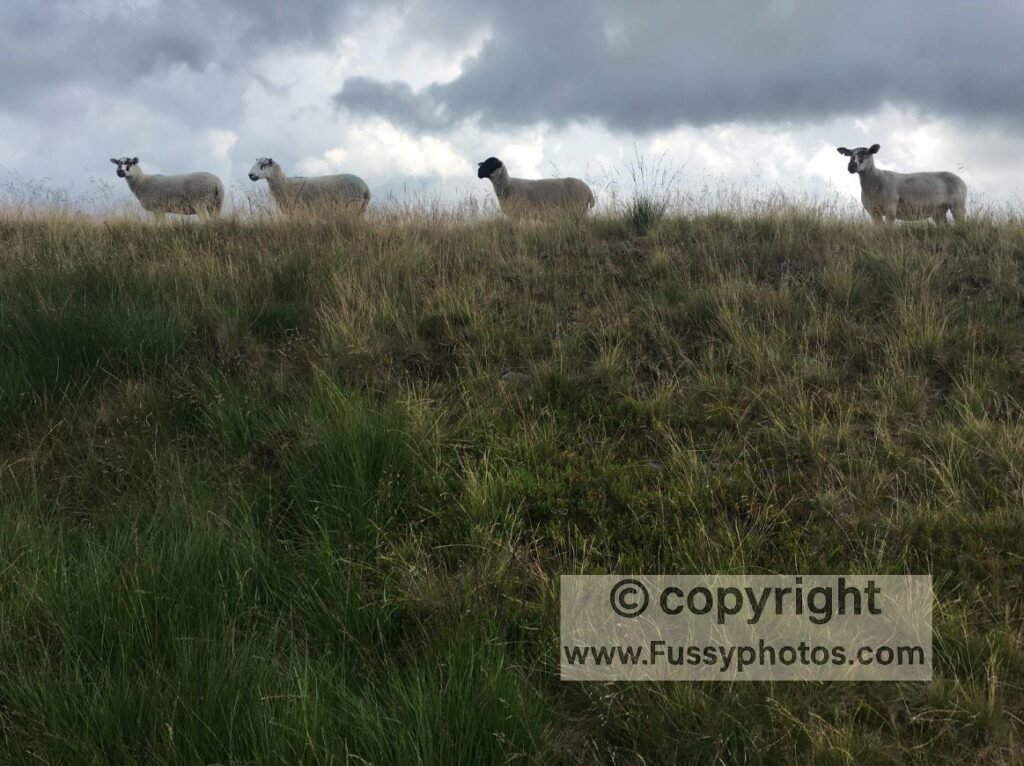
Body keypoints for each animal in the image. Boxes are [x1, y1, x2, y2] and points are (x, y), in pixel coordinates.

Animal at [836, 144, 967, 224]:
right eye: (850, 154)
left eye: (866, 153)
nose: (851, 166)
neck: (875, 183)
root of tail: (962, 182)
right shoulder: (873, 212)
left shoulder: (890, 209)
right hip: (939, 211)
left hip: (958, 204)